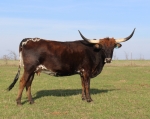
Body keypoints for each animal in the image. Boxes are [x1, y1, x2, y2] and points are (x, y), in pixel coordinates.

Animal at [7, 28, 135, 105]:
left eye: (113, 47)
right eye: (102, 47)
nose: (108, 59)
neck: (93, 51)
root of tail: (27, 40)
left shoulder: (82, 72)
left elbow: (82, 85)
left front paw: (83, 98)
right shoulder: (87, 71)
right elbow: (87, 85)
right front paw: (89, 99)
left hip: (33, 70)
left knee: (28, 83)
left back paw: (31, 101)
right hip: (29, 69)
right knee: (22, 82)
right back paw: (18, 102)